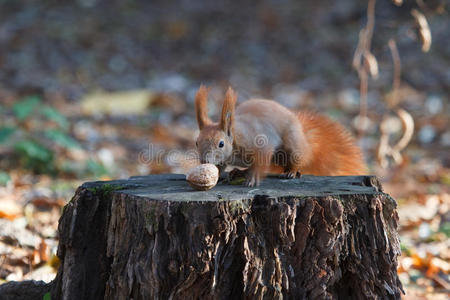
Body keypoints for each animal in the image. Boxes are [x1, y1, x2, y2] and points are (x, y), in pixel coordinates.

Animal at [193, 84, 366, 186]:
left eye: (221, 144)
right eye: (196, 142)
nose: (204, 160)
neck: (235, 136)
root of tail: (305, 141)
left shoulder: (260, 142)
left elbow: (261, 161)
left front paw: (253, 179)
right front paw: (218, 174)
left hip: (292, 145)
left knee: (297, 160)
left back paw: (291, 172)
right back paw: (239, 172)